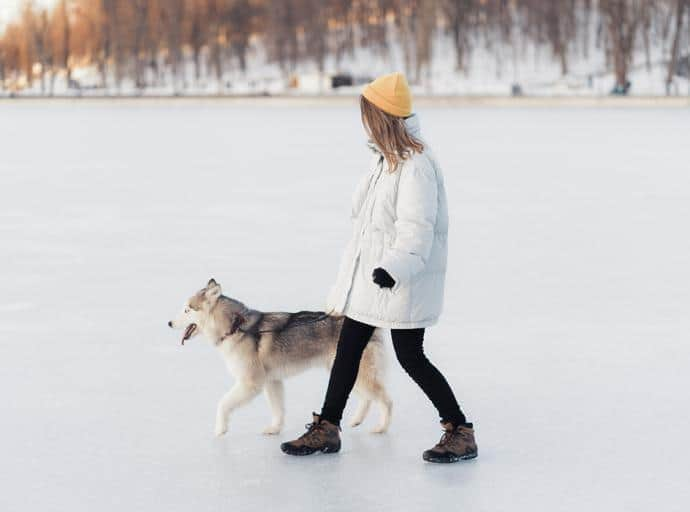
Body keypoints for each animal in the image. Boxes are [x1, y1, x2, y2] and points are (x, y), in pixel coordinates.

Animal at [168, 280, 392, 436]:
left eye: (187, 309)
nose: (169, 323)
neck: (235, 328)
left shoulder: (251, 383)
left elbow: (223, 403)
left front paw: (220, 429)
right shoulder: (272, 381)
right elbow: (278, 409)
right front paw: (275, 429)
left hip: (356, 372)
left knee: (386, 401)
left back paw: (381, 428)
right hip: (346, 371)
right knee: (367, 398)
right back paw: (356, 420)